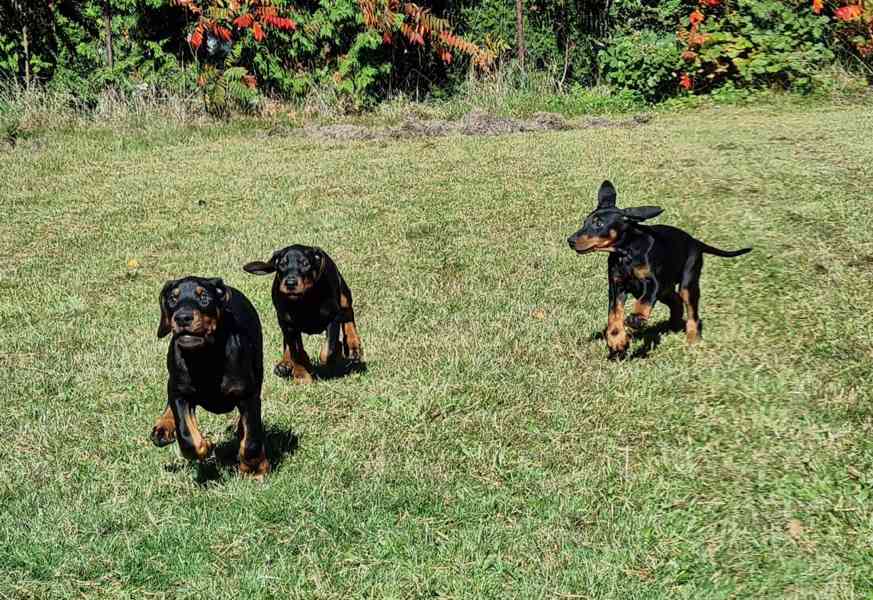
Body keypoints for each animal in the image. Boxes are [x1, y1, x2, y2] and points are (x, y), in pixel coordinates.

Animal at [151, 276, 270, 478]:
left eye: (204, 297)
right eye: (173, 299)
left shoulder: (247, 395)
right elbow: (186, 436)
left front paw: (254, 469)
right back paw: (164, 426)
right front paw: (206, 445)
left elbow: (251, 440)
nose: (182, 317)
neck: (204, 357)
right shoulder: (181, 393)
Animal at [242, 245, 362, 382]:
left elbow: (328, 350)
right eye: (282, 264)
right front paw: (302, 376)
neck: (303, 300)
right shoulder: (288, 325)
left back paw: (353, 346)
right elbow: (296, 351)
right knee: (289, 343)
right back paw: (285, 364)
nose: (290, 283)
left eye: (306, 264)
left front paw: (336, 352)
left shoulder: (332, 318)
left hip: (343, 293)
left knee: (348, 314)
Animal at [564, 180, 748, 358]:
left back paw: (692, 339)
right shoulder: (617, 286)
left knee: (692, 313)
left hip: (687, 282)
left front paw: (636, 319)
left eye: (599, 223)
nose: (570, 240)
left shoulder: (653, 282)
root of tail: (695, 241)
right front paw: (617, 339)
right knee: (676, 301)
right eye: (585, 222)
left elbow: (644, 301)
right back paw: (672, 325)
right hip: (666, 289)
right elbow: (614, 314)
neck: (627, 252)